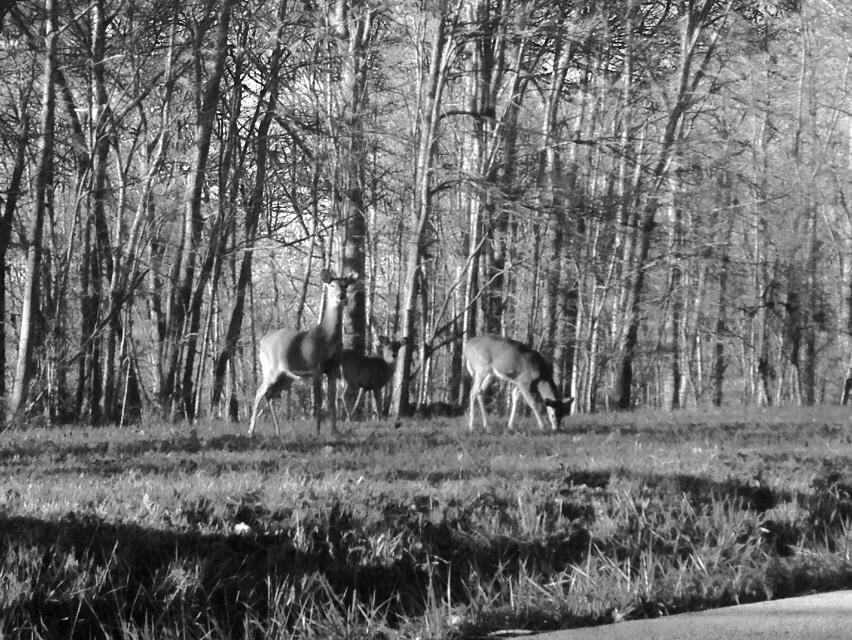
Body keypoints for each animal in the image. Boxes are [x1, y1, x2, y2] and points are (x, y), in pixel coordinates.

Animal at [248, 269, 359, 437]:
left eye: (345, 285)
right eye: (331, 285)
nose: (341, 296)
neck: (326, 338)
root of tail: (262, 341)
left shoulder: (333, 368)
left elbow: (332, 400)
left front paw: (334, 431)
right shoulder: (315, 366)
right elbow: (319, 401)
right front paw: (317, 432)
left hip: (286, 377)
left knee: (270, 395)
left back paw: (277, 431)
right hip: (270, 369)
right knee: (259, 392)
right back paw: (251, 431)